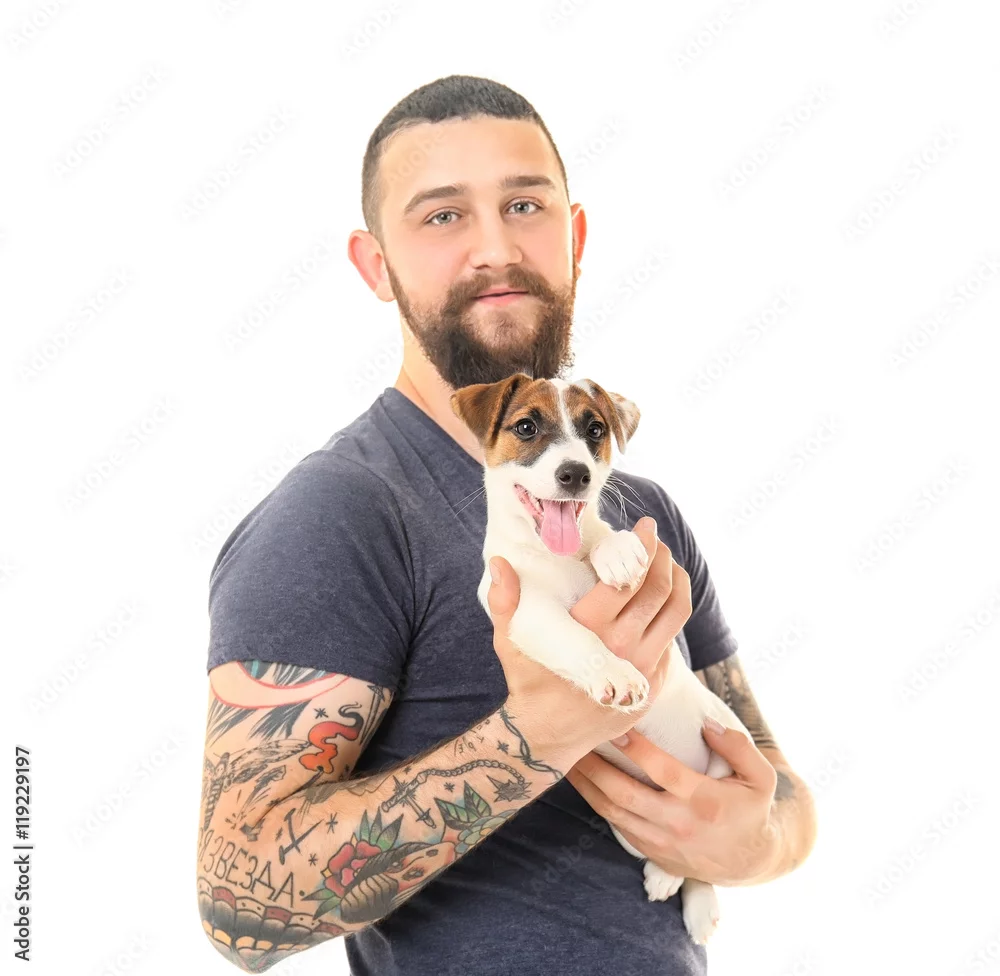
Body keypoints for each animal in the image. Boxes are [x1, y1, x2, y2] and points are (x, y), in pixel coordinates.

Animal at [450, 372, 754, 946]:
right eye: (526, 427)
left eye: (595, 430)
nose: (576, 473)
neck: (557, 557)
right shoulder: (522, 612)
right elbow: (571, 636)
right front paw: (614, 674)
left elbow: (601, 534)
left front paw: (615, 552)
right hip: (629, 829)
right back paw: (669, 878)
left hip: (728, 736)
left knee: (699, 853)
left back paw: (694, 899)